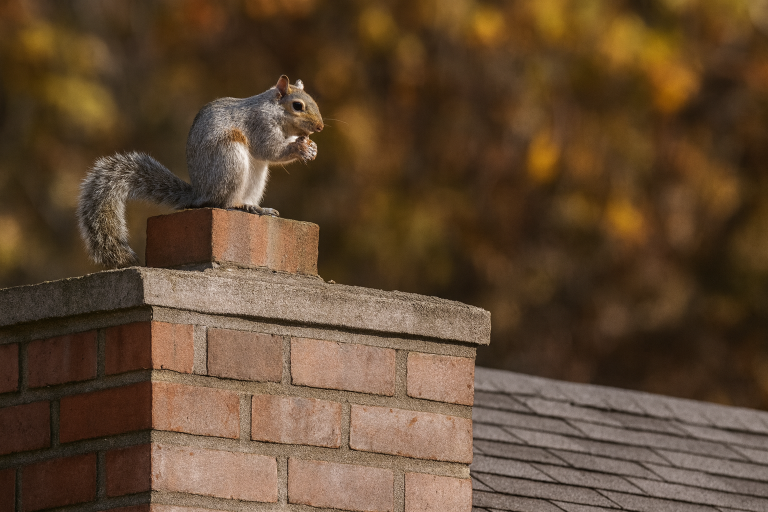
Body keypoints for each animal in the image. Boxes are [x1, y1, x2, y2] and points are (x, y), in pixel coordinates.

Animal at [76, 75, 323, 269]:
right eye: (298, 106)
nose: (320, 127)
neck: (274, 111)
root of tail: (200, 192)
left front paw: (311, 148)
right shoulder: (260, 124)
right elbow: (270, 149)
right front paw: (300, 148)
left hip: (255, 177)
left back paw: (258, 208)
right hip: (229, 160)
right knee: (222, 202)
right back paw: (239, 205)